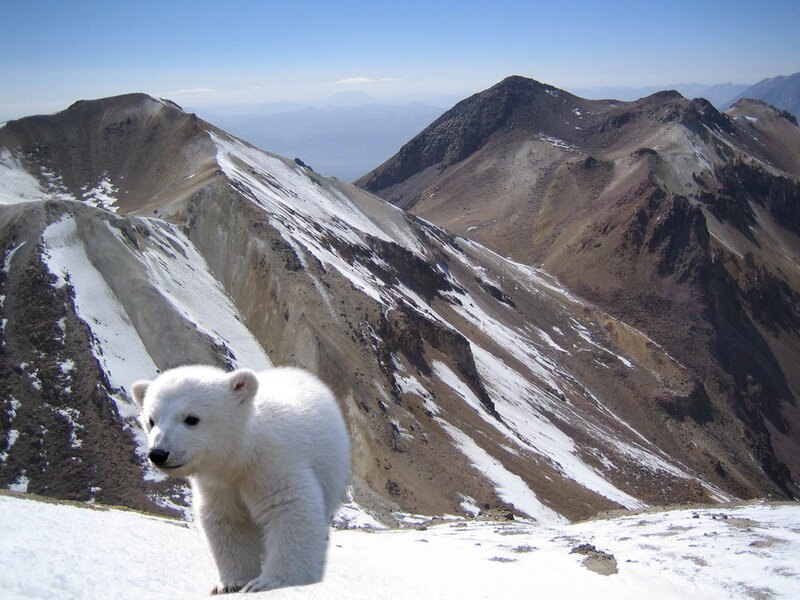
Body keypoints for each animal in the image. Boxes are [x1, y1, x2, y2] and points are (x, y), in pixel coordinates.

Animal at [130, 365, 351, 594]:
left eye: (191, 418)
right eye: (151, 420)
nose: (158, 453)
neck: (242, 454)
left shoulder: (274, 463)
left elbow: (289, 509)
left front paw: (271, 582)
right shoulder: (218, 484)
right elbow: (227, 520)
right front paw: (232, 584)